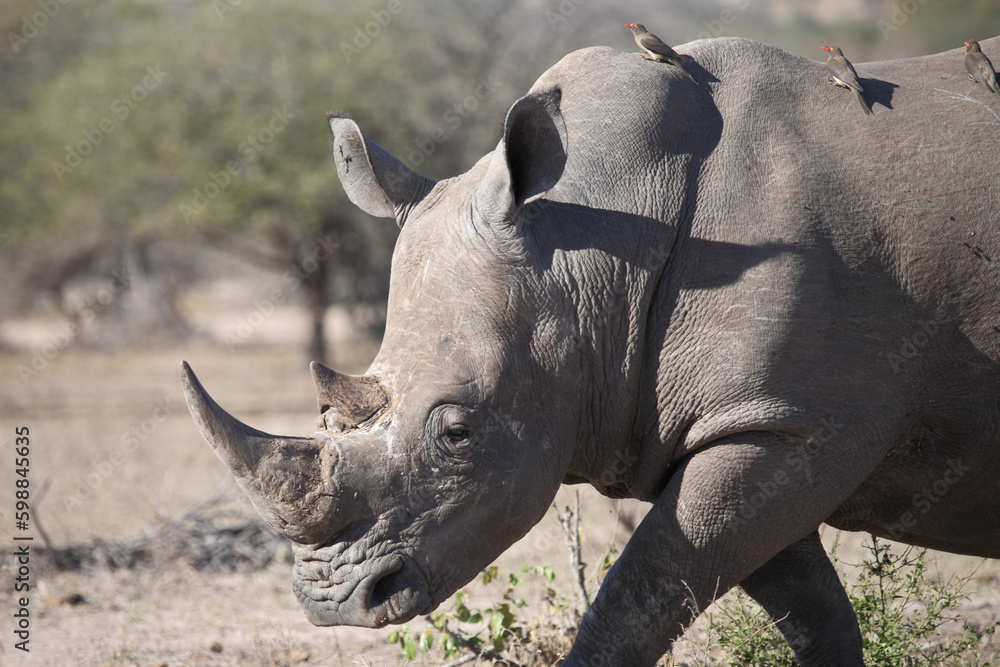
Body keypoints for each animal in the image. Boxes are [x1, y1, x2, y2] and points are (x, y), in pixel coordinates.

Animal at [182, 37, 1000, 666]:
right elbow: (812, 615)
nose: (333, 603)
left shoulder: (791, 423)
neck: (595, 246)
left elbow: (637, 598)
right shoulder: (754, 425)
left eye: (458, 433)